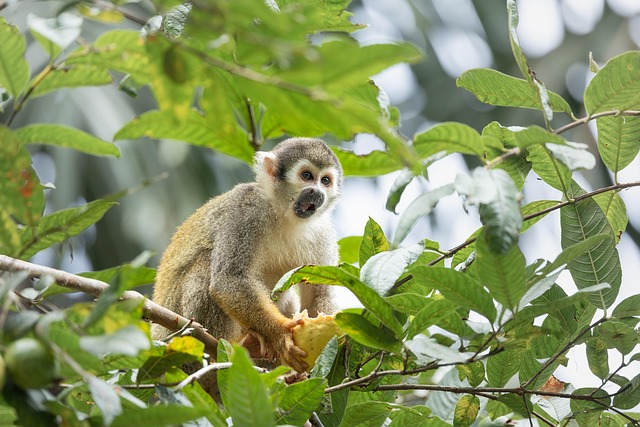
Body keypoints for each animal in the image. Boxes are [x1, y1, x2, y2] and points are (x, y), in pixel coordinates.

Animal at [151, 137, 342, 373]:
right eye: (307, 176)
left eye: (325, 180)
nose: (317, 192)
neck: (284, 214)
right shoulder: (246, 210)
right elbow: (229, 280)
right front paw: (279, 333)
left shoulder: (324, 233)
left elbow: (319, 293)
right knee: (206, 267)